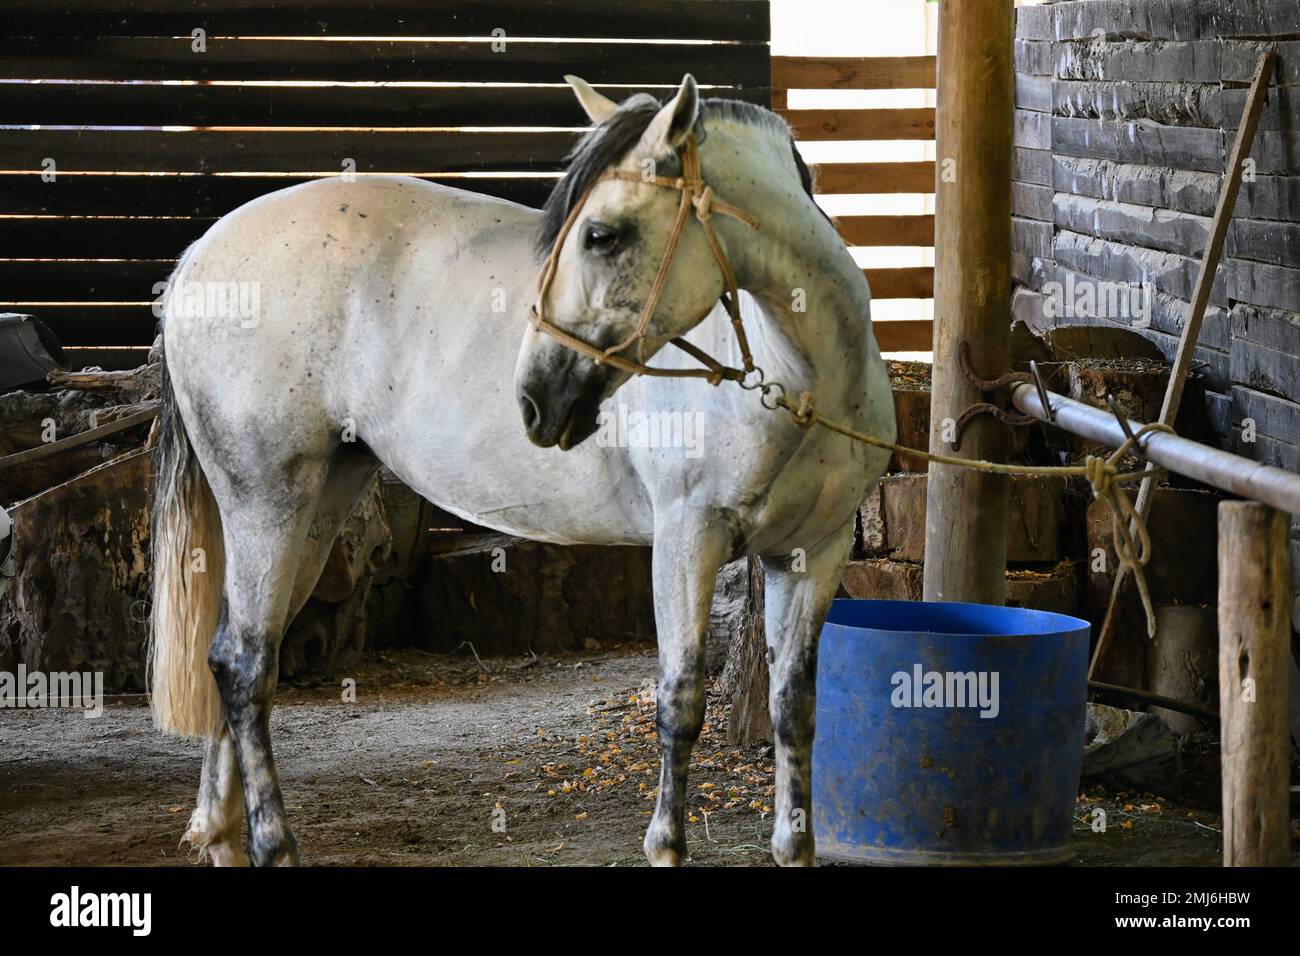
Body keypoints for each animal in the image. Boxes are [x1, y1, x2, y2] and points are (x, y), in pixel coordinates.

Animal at [149, 73, 894, 867]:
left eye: (601, 235)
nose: (536, 397)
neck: (798, 380)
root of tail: (198, 256)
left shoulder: (812, 553)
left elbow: (795, 705)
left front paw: (793, 842)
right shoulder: (687, 540)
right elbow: (681, 701)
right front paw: (665, 844)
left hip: (316, 510)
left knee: (230, 656)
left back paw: (222, 835)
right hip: (267, 504)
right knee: (246, 666)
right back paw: (273, 843)